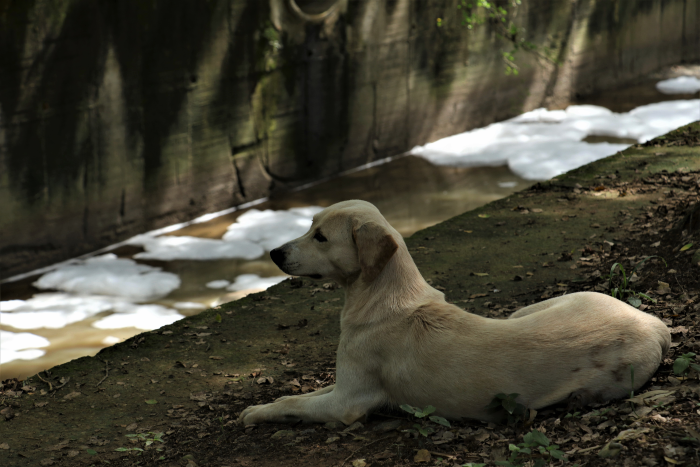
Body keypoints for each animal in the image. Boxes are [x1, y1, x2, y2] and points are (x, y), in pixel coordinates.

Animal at [238, 199, 668, 426]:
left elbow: (293, 403)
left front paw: (257, 411)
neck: (382, 294)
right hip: (534, 308)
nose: (274, 253)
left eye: (321, 237)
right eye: (310, 225)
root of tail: (653, 321)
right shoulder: (341, 386)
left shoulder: (347, 402)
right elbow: (306, 392)